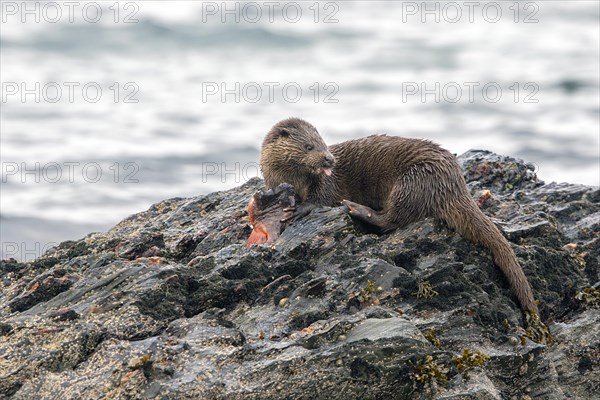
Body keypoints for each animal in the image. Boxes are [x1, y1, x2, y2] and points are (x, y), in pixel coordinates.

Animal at [262, 117, 540, 314]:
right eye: (309, 146)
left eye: (324, 143)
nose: (329, 159)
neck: (295, 180)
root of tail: (455, 183)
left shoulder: (328, 184)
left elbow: (321, 199)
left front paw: (299, 209)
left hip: (412, 181)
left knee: (393, 219)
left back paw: (357, 209)